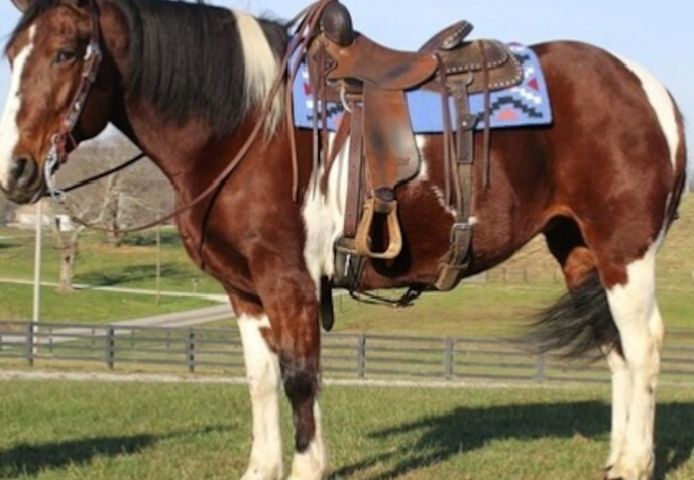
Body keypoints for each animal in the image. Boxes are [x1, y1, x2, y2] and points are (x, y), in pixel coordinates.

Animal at [0, 0, 687, 479]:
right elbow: (260, 380)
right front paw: (262, 467)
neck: (246, 125)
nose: (18, 171)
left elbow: (300, 377)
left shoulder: (289, 282)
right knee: (616, 349)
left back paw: (637, 461)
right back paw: (616, 458)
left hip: (624, 249)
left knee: (644, 344)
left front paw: (308, 467)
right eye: (12, 53)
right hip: (579, 249)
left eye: (67, 52)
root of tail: (651, 88)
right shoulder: (244, 293)